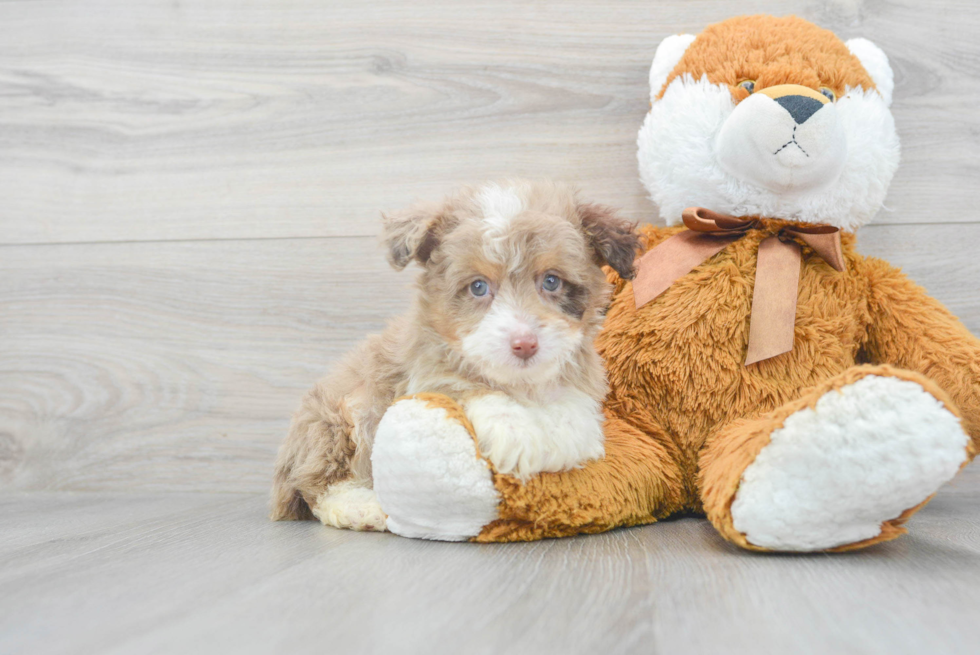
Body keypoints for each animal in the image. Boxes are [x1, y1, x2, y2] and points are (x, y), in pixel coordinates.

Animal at [272, 182, 640, 532]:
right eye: (478, 287)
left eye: (551, 281)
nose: (525, 344)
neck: (520, 384)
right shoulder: (425, 371)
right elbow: (466, 388)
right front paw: (517, 433)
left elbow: (573, 405)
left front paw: (566, 438)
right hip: (339, 420)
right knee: (320, 485)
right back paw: (360, 507)